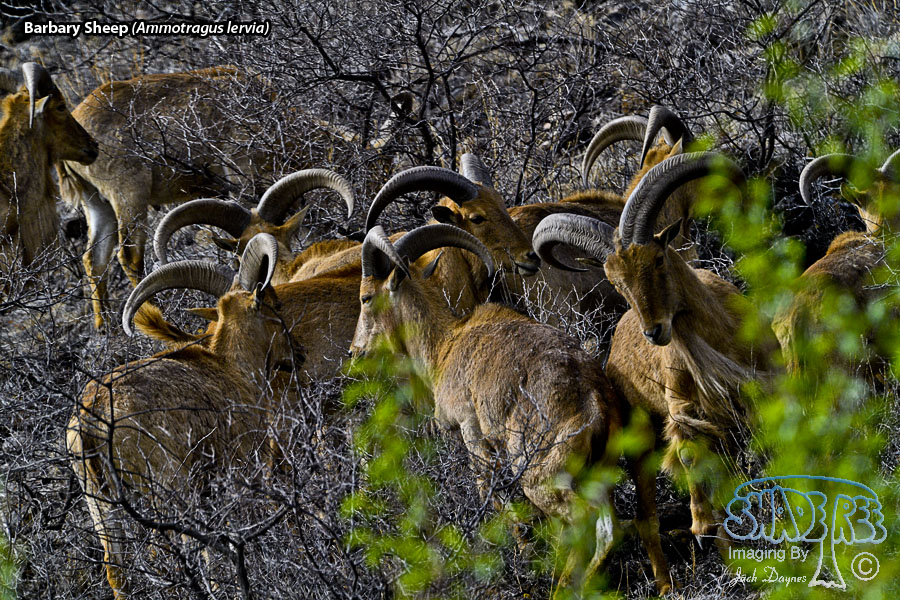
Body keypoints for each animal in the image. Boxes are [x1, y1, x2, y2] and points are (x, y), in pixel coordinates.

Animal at [67, 234, 300, 598]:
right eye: (276, 307)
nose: (297, 354)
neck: (232, 368)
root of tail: (94, 419)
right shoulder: (236, 474)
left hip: (99, 502)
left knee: (115, 568)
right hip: (168, 491)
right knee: (176, 555)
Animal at [349, 224, 673, 594]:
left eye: (365, 297)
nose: (355, 351)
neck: (446, 345)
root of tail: (595, 404)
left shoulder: (473, 434)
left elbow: (494, 496)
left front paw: (525, 554)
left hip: (540, 477)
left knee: (589, 522)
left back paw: (560, 587)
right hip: (596, 472)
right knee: (607, 527)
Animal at [533, 151, 765, 544]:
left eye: (658, 258)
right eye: (615, 281)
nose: (654, 331)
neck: (720, 339)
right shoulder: (682, 408)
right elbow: (687, 454)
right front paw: (701, 523)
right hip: (638, 441)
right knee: (647, 517)